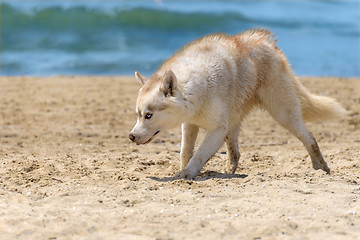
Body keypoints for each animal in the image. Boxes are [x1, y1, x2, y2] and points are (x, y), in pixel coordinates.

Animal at [129, 28, 346, 178]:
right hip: (235, 120)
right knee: (235, 152)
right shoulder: (190, 123)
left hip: (283, 113)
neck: (200, 84)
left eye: (148, 115)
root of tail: (271, 46)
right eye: (138, 115)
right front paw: (184, 169)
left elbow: (199, 154)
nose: (131, 136)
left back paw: (320, 167)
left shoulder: (217, 129)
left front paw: (187, 173)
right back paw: (229, 171)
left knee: (309, 137)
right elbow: (185, 151)